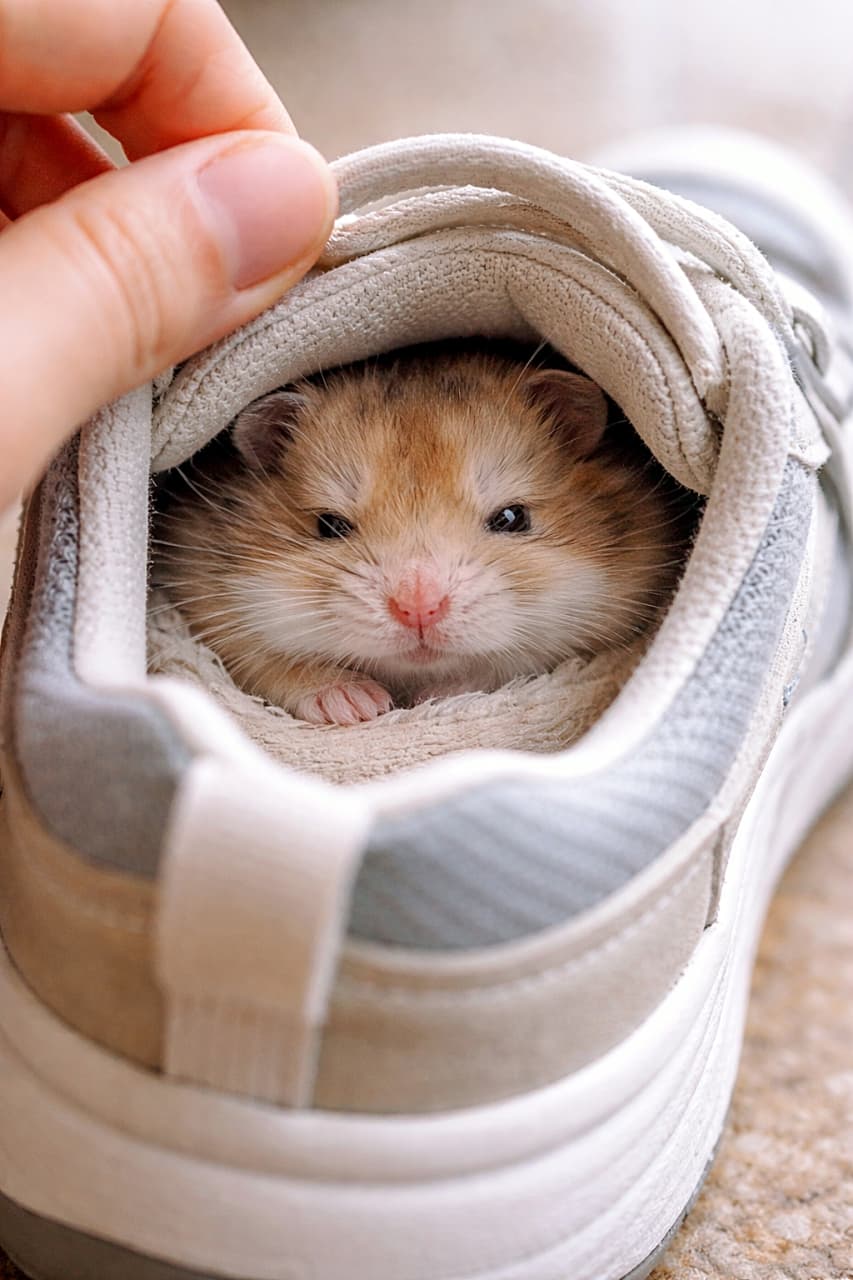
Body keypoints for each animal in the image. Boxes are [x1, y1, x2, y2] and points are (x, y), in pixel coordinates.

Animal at [154, 344, 694, 725]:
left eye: (512, 518)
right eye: (329, 525)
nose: (418, 609)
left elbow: (504, 664)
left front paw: (432, 698)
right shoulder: (212, 607)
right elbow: (276, 664)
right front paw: (359, 705)